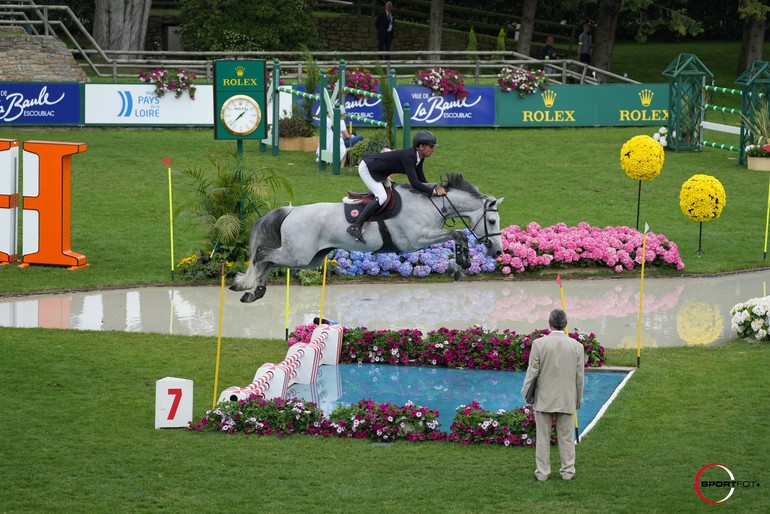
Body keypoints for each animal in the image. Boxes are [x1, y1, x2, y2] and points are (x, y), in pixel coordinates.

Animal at [231, 172, 500, 300]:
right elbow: (458, 234)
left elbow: (457, 235)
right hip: (298, 255)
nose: (497, 251)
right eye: (492, 221)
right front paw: (462, 263)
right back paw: (248, 285)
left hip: (309, 258)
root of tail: (291, 211)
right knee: (262, 255)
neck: (431, 204)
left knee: (269, 261)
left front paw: (459, 266)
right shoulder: (417, 239)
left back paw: (254, 291)